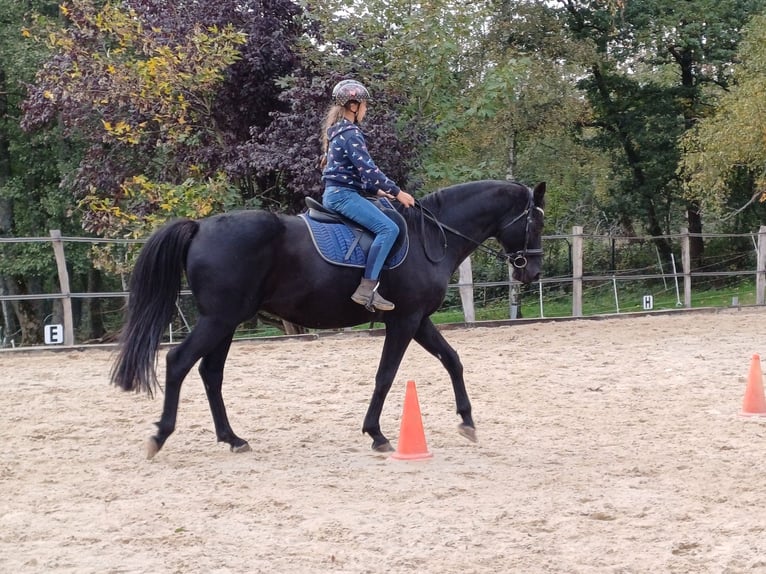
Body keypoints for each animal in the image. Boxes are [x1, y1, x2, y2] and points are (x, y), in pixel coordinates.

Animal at [111, 179, 545, 458]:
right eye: (535, 221)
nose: (532, 272)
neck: (430, 236)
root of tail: (200, 226)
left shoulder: (418, 320)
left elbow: (452, 360)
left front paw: (467, 422)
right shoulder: (404, 321)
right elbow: (386, 375)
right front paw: (377, 434)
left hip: (226, 322)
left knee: (210, 373)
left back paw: (233, 439)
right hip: (219, 319)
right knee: (179, 362)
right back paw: (161, 435)